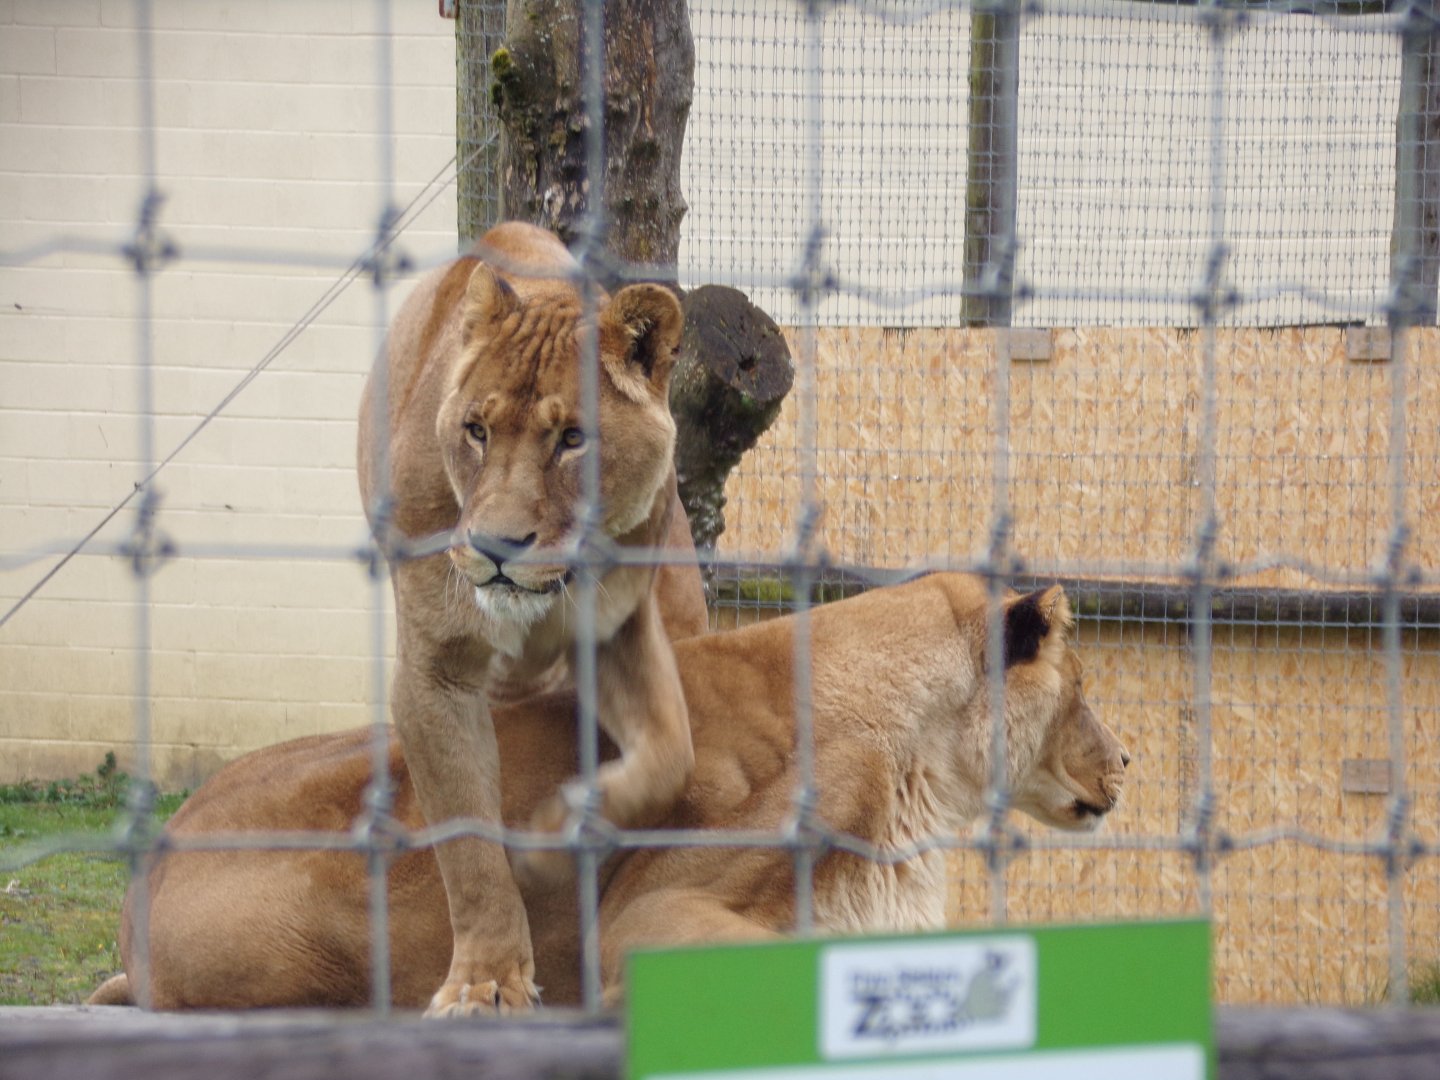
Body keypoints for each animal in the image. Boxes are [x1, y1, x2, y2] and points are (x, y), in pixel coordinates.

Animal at [355, 221, 704, 1015]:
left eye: (573, 439)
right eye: (477, 431)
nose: (495, 547)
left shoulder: (617, 631)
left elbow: (672, 752)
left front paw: (559, 829)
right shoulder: (435, 672)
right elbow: (469, 847)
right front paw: (484, 981)